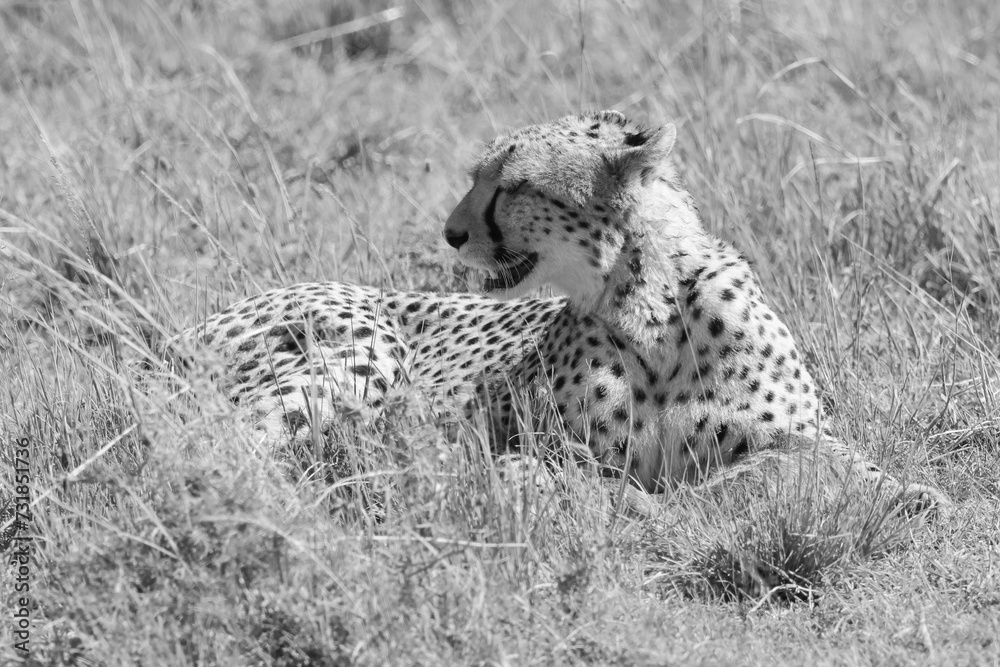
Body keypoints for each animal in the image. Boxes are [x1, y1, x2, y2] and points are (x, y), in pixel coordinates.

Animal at [177, 110, 949, 517]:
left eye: (513, 186)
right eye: (475, 177)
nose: (450, 233)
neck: (650, 306)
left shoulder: (784, 433)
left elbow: (841, 459)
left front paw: (913, 493)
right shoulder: (542, 441)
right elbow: (589, 477)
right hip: (365, 348)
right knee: (225, 445)